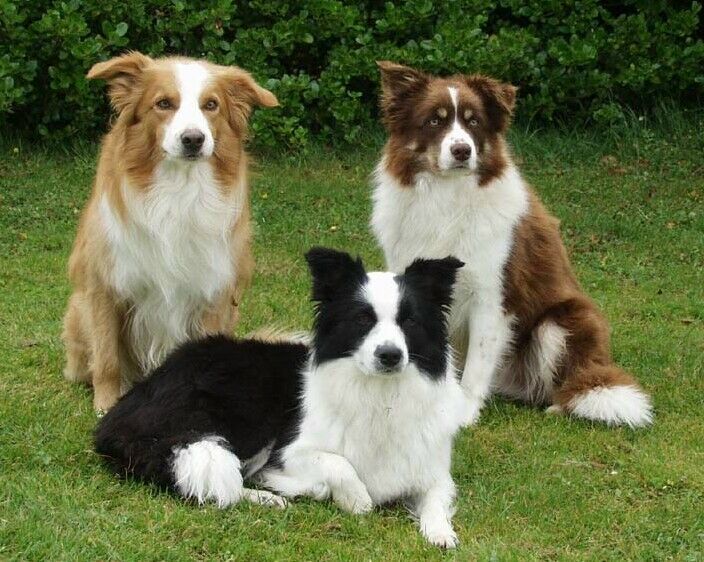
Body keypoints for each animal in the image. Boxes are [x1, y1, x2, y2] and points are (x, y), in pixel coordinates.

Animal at [62, 51, 278, 412]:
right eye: (164, 103)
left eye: (211, 105)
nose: (193, 139)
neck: (178, 189)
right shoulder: (105, 285)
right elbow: (107, 356)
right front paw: (107, 404)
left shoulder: (213, 294)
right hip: (78, 310)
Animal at [93, 247, 468, 544]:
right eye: (363, 319)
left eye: (410, 321)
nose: (390, 355)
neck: (381, 396)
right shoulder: (292, 449)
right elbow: (340, 464)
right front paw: (356, 499)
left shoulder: (432, 468)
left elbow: (437, 498)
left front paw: (440, 532)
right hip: (247, 408)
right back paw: (272, 494)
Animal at [372, 61, 652, 426]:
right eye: (434, 120)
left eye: (473, 121)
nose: (462, 151)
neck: (447, 198)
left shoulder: (493, 297)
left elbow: (476, 367)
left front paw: (463, 413)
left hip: (560, 324)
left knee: (574, 383)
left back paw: (559, 406)